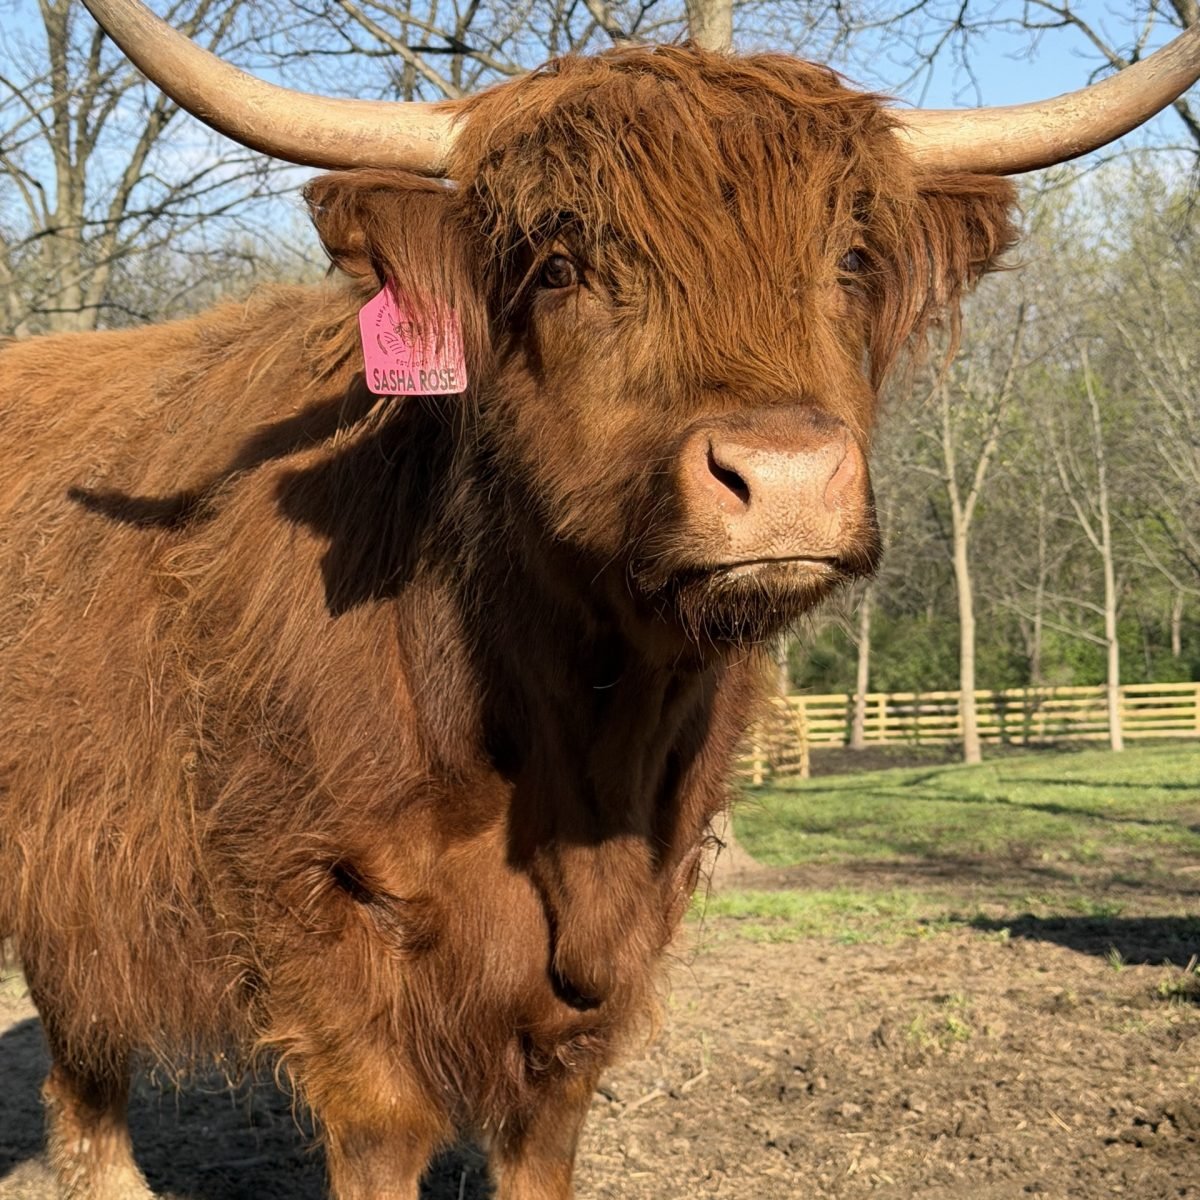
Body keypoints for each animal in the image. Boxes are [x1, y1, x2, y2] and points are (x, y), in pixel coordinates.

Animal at [1, 1, 1197, 1196]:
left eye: (852, 258)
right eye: (559, 267)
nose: (787, 476)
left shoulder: (601, 977)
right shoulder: (321, 938)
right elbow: (382, 1127)